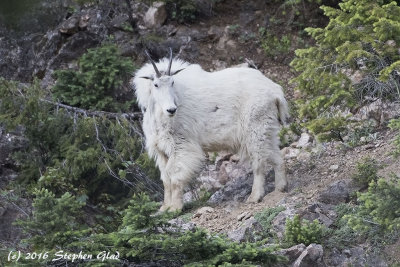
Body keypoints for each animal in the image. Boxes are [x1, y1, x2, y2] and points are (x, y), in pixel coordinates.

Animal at [134, 50, 288, 211]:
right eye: (155, 84)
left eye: (172, 82)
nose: (171, 109)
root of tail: (275, 91)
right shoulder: (161, 150)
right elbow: (165, 178)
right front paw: (164, 209)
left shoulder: (181, 145)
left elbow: (175, 176)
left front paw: (175, 208)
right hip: (267, 128)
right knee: (276, 156)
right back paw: (280, 188)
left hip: (254, 128)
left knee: (259, 162)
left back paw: (255, 196)